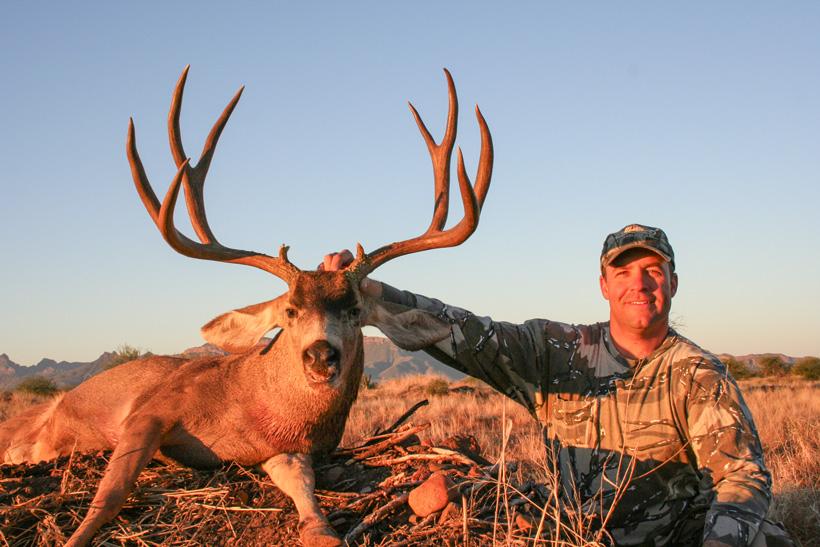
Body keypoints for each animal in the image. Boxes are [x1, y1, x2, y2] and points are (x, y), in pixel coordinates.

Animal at [0, 66, 493, 546]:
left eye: (355, 311)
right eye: (290, 311)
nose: (320, 355)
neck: (249, 405)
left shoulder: (283, 450)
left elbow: (303, 488)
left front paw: (321, 531)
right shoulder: (153, 408)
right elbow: (112, 494)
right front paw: (76, 537)